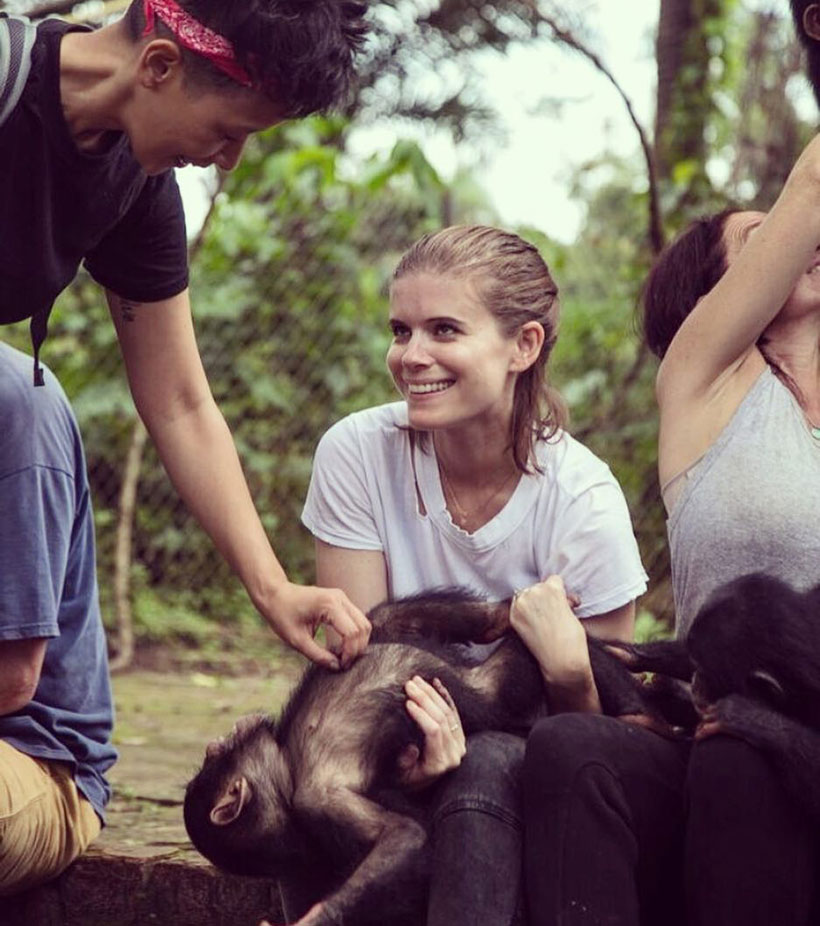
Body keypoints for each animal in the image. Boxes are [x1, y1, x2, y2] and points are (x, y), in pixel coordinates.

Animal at [184, 592, 672, 924]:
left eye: (214, 750)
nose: (231, 731)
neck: (286, 766)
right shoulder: (322, 800)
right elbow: (403, 838)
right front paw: (318, 917)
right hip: (500, 688)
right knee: (523, 654)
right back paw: (641, 713)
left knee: (389, 619)